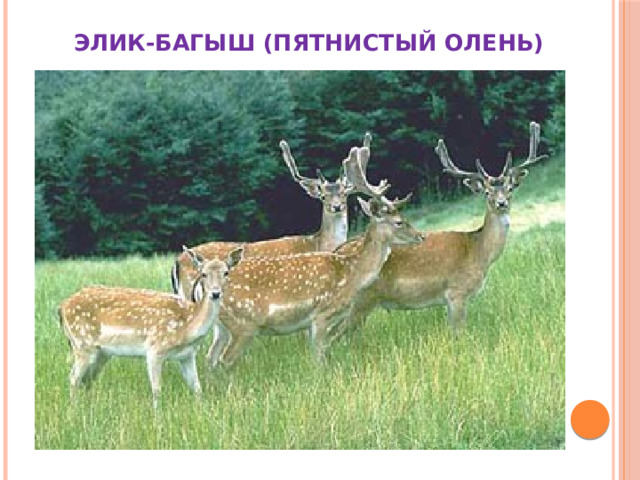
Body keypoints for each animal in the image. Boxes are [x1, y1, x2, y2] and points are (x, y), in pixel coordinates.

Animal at [58, 246, 244, 408]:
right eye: (203, 274)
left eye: (226, 272)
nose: (215, 293)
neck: (187, 327)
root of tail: (62, 307)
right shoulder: (155, 348)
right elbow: (157, 390)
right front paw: (157, 418)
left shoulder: (187, 355)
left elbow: (197, 388)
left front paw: (202, 411)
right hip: (82, 343)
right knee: (73, 378)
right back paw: (73, 411)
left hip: (101, 352)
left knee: (86, 380)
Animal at [202, 146, 424, 366]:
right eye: (398, 222)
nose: (421, 236)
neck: (351, 272)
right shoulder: (321, 314)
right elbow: (320, 357)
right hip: (244, 325)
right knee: (223, 360)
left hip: (222, 328)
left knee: (211, 357)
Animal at [330, 122, 548, 338]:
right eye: (487, 192)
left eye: (510, 189)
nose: (501, 203)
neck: (479, 252)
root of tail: (336, 250)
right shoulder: (457, 291)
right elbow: (460, 332)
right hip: (359, 302)